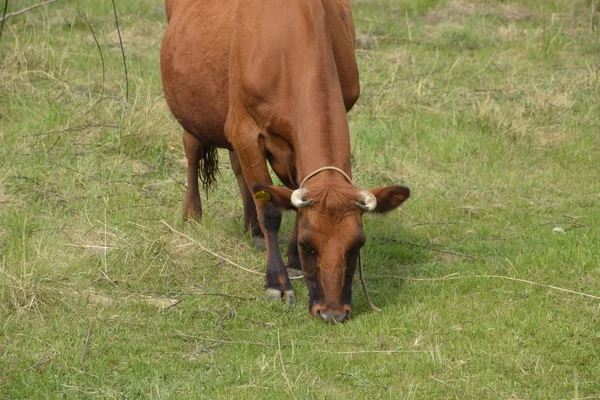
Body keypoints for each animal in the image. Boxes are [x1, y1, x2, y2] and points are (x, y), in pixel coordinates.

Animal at [162, 0, 410, 322]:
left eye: (358, 244)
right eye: (308, 245)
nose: (332, 313)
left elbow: (288, 195)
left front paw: (291, 260)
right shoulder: (244, 129)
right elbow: (270, 209)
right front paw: (278, 283)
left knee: (240, 170)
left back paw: (252, 228)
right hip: (194, 107)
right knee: (192, 150)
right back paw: (192, 214)